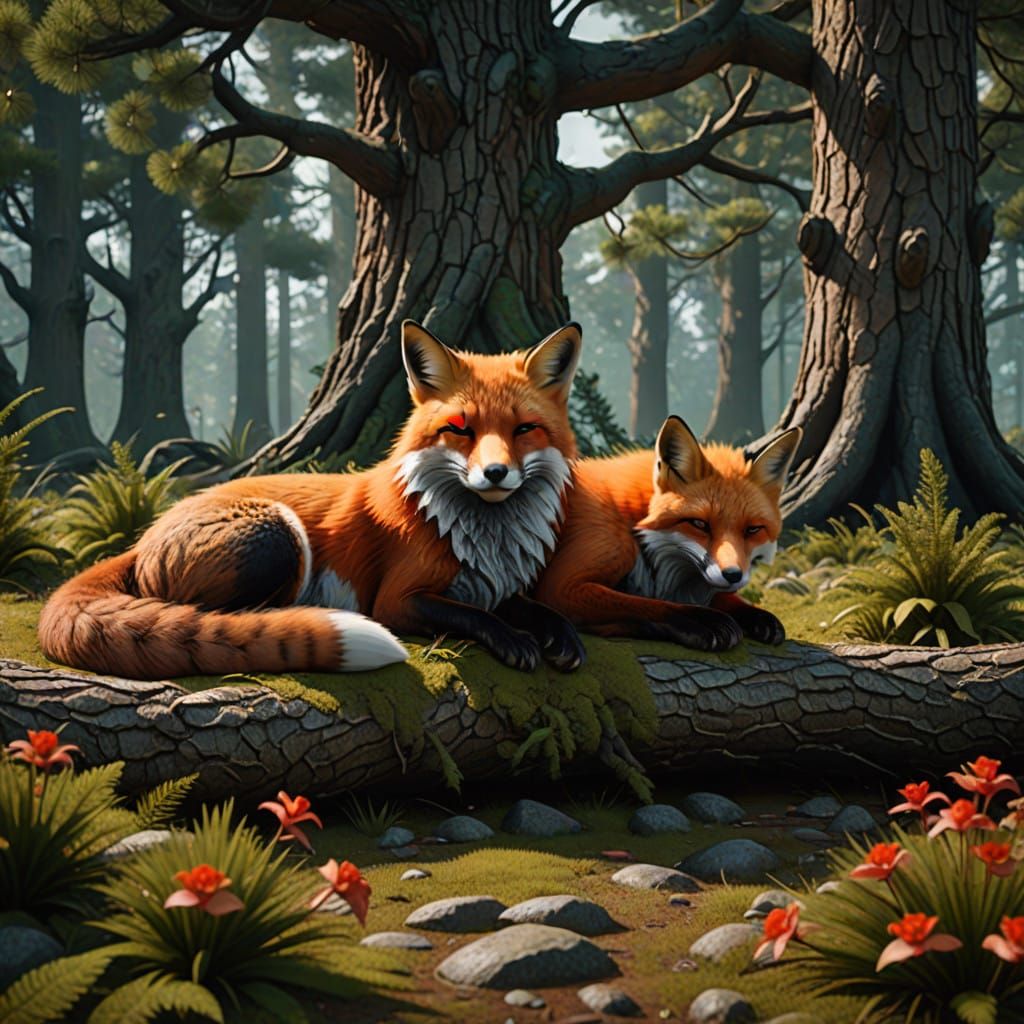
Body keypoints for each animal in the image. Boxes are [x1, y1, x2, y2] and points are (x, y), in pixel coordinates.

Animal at [39, 321, 587, 680]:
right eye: (459, 429)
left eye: (524, 430)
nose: (495, 474)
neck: (483, 537)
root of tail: (146, 533)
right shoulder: (398, 599)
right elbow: (472, 616)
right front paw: (513, 639)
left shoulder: (494, 584)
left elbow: (531, 607)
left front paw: (560, 634)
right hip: (279, 537)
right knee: (215, 614)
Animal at [533, 415, 802, 651]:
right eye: (699, 524)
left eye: (752, 529)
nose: (733, 575)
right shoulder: (564, 585)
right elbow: (645, 604)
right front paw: (702, 620)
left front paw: (756, 615)